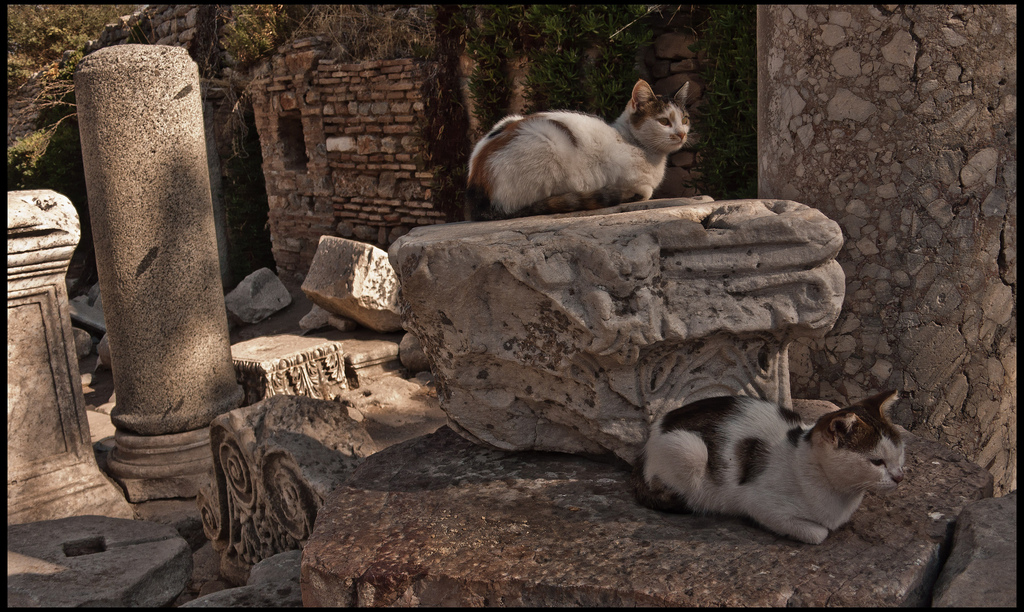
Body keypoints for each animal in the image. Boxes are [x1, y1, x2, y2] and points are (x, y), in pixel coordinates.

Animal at [466, 79, 692, 222]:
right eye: (664, 121)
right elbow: (647, 191)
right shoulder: (628, 179)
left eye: (685, 120)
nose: (681, 134)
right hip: (548, 141)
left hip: (509, 120)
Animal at [630, 390, 905, 544]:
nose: (900, 477)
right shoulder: (759, 504)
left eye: (899, 453)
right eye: (877, 461)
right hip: (691, 450)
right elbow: (818, 533)